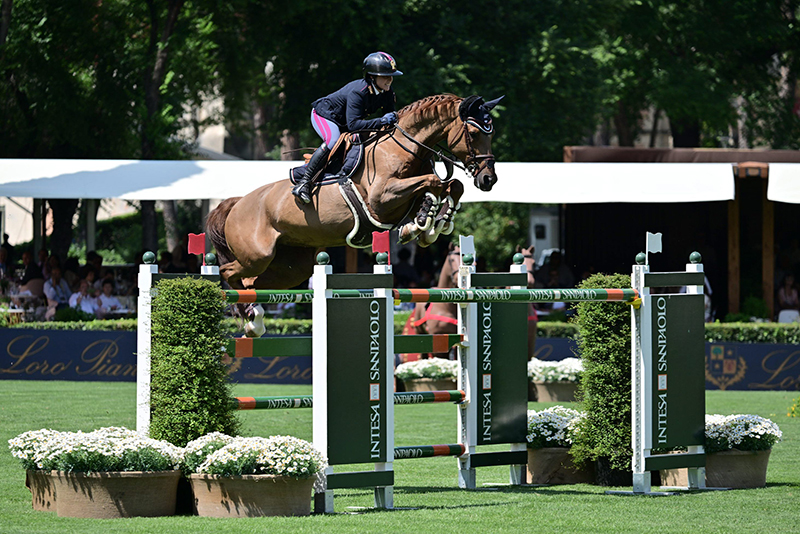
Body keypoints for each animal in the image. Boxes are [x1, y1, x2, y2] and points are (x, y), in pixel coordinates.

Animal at [209, 92, 504, 336]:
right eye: (474, 133)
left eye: (491, 134)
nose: (489, 179)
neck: (400, 148)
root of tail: (236, 204)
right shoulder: (381, 198)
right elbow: (433, 181)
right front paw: (425, 222)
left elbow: (451, 185)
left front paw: (430, 223)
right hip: (257, 255)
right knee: (229, 272)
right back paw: (250, 317)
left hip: (291, 266)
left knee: (254, 282)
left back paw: (254, 319)